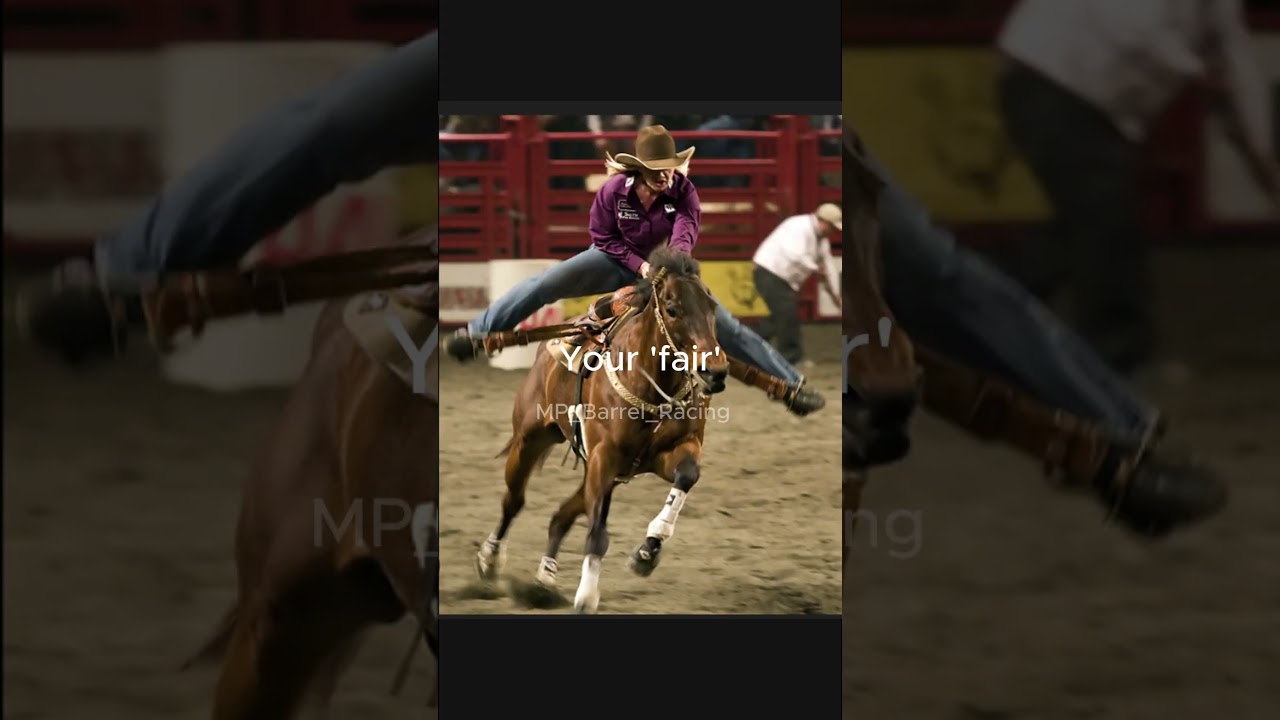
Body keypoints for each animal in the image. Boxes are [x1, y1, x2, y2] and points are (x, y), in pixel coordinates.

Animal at [471, 246, 731, 614]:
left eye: (712, 307)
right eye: (672, 309)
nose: (715, 372)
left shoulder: (674, 449)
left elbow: (687, 475)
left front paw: (648, 549)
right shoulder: (603, 458)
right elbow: (597, 534)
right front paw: (587, 596)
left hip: (604, 475)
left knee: (561, 515)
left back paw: (544, 581)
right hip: (530, 440)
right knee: (514, 501)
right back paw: (490, 560)